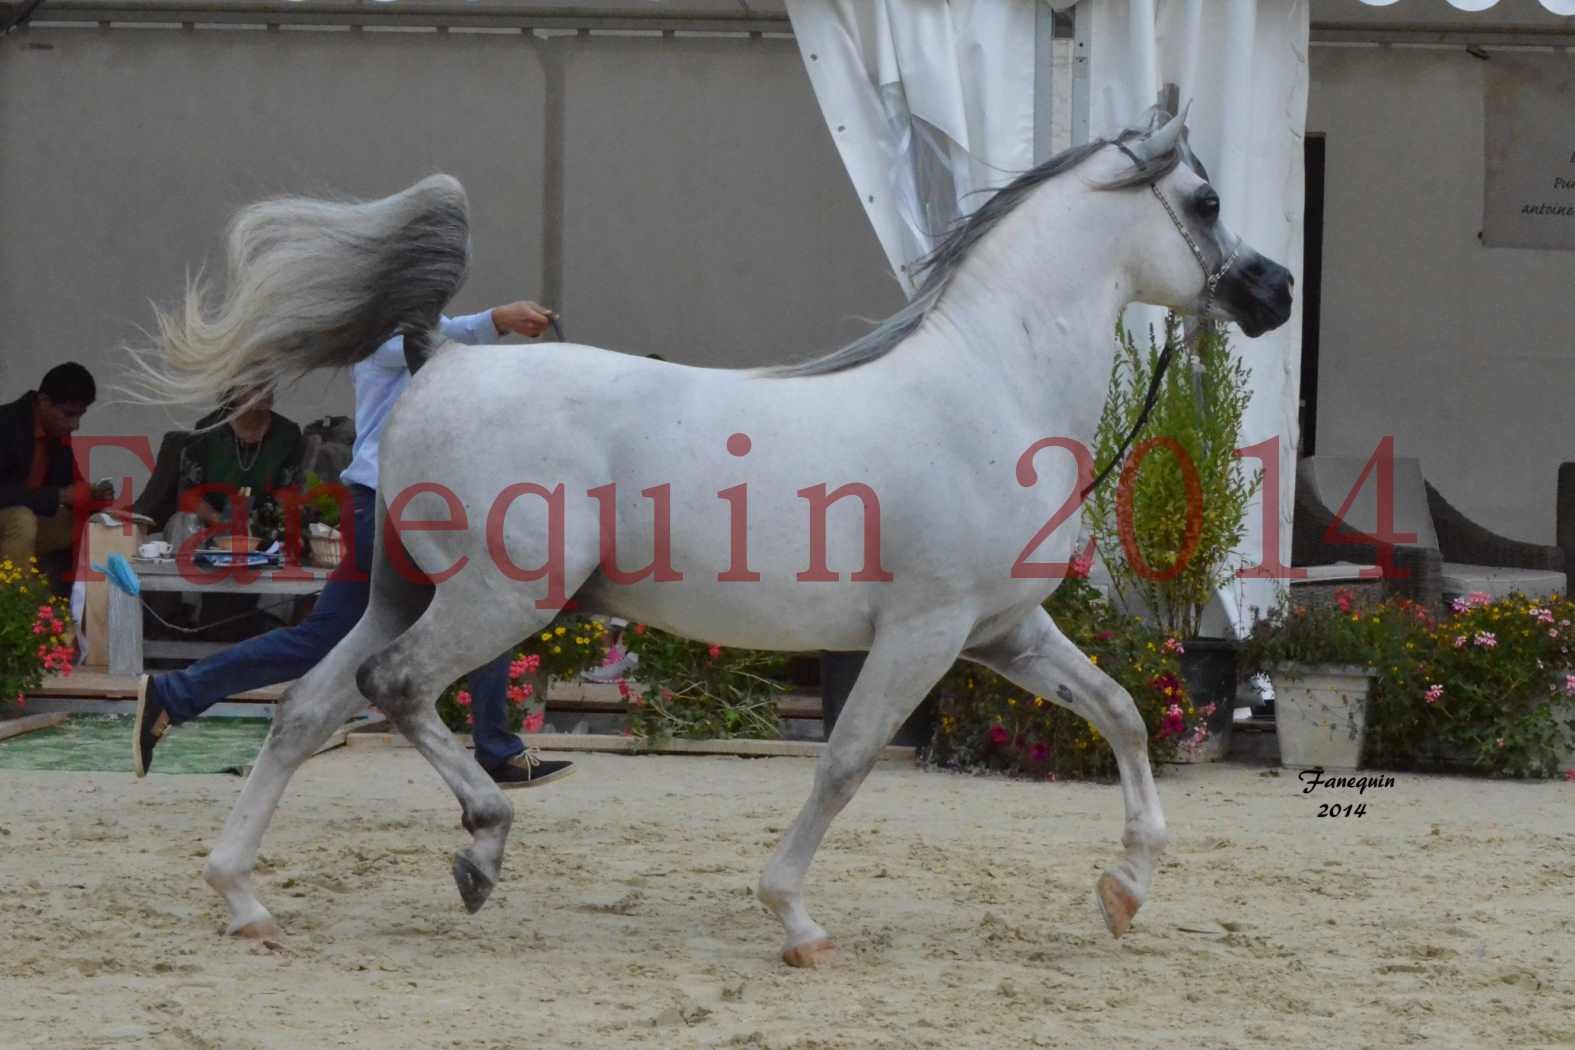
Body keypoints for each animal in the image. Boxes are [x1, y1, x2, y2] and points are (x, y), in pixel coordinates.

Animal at [138, 107, 1291, 969]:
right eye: (1205, 201)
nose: (1272, 290)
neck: (991, 388)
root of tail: (441, 357)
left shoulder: (1003, 632)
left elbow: (1124, 714)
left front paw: (1125, 889)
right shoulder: (923, 634)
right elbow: (846, 763)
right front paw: (794, 919)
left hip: (406, 591)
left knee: (304, 708)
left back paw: (244, 900)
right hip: (499, 600)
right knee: (393, 689)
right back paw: (480, 849)